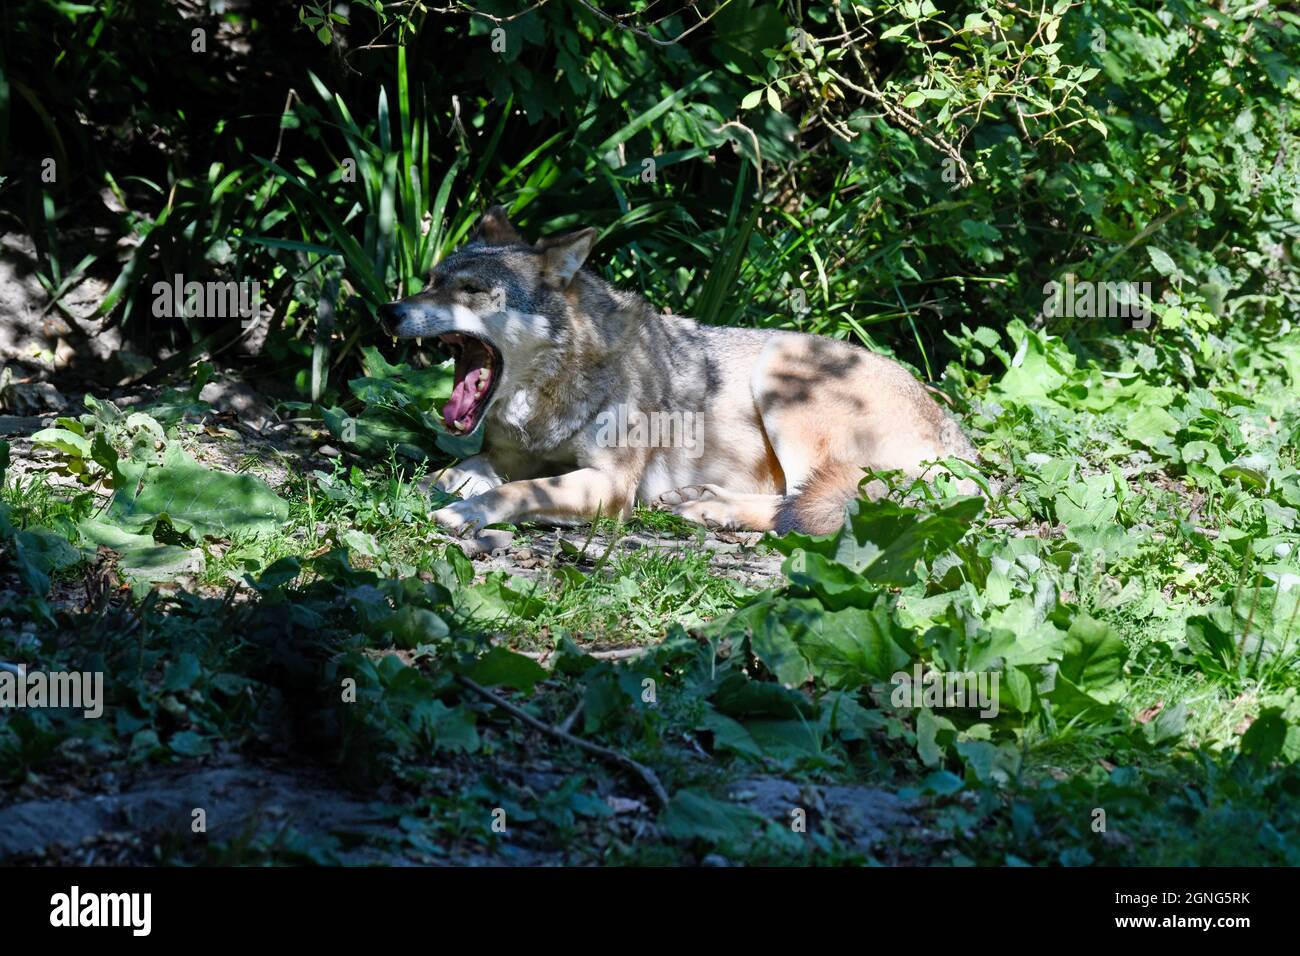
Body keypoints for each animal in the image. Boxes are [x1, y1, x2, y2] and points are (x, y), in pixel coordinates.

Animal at [377, 207, 979, 537]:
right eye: (430, 281)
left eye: (471, 291)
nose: (389, 312)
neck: (553, 392)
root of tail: (959, 439)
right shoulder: (502, 457)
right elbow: (444, 474)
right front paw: (401, 493)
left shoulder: (609, 486)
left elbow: (521, 492)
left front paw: (466, 513)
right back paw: (699, 500)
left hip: (783, 368)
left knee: (807, 504)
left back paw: (710, 511)